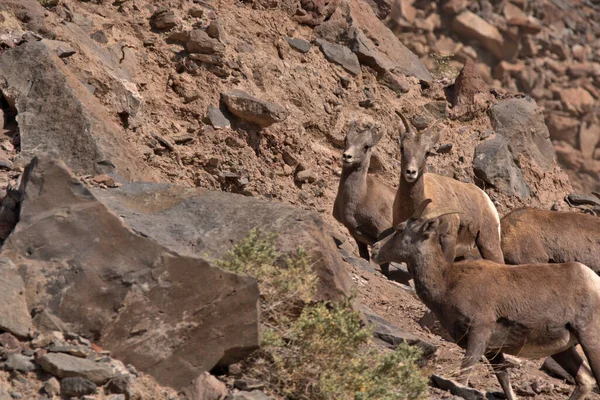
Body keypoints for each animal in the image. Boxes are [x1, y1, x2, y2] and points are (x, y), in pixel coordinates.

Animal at [376, 200, 600, 400]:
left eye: (400, 229)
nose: (378, 253)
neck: (447, 281)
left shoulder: (479, 333)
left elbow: (463, 375)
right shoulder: (493, 350)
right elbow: (505, 382)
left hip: (589, 339)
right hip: (563, 349)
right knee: (585, 380)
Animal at [392, 111, 504, 262]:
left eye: (427, 152)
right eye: (402, 148)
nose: (411, 172)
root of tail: (485, 197)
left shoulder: (448, 240)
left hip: (489, 245)